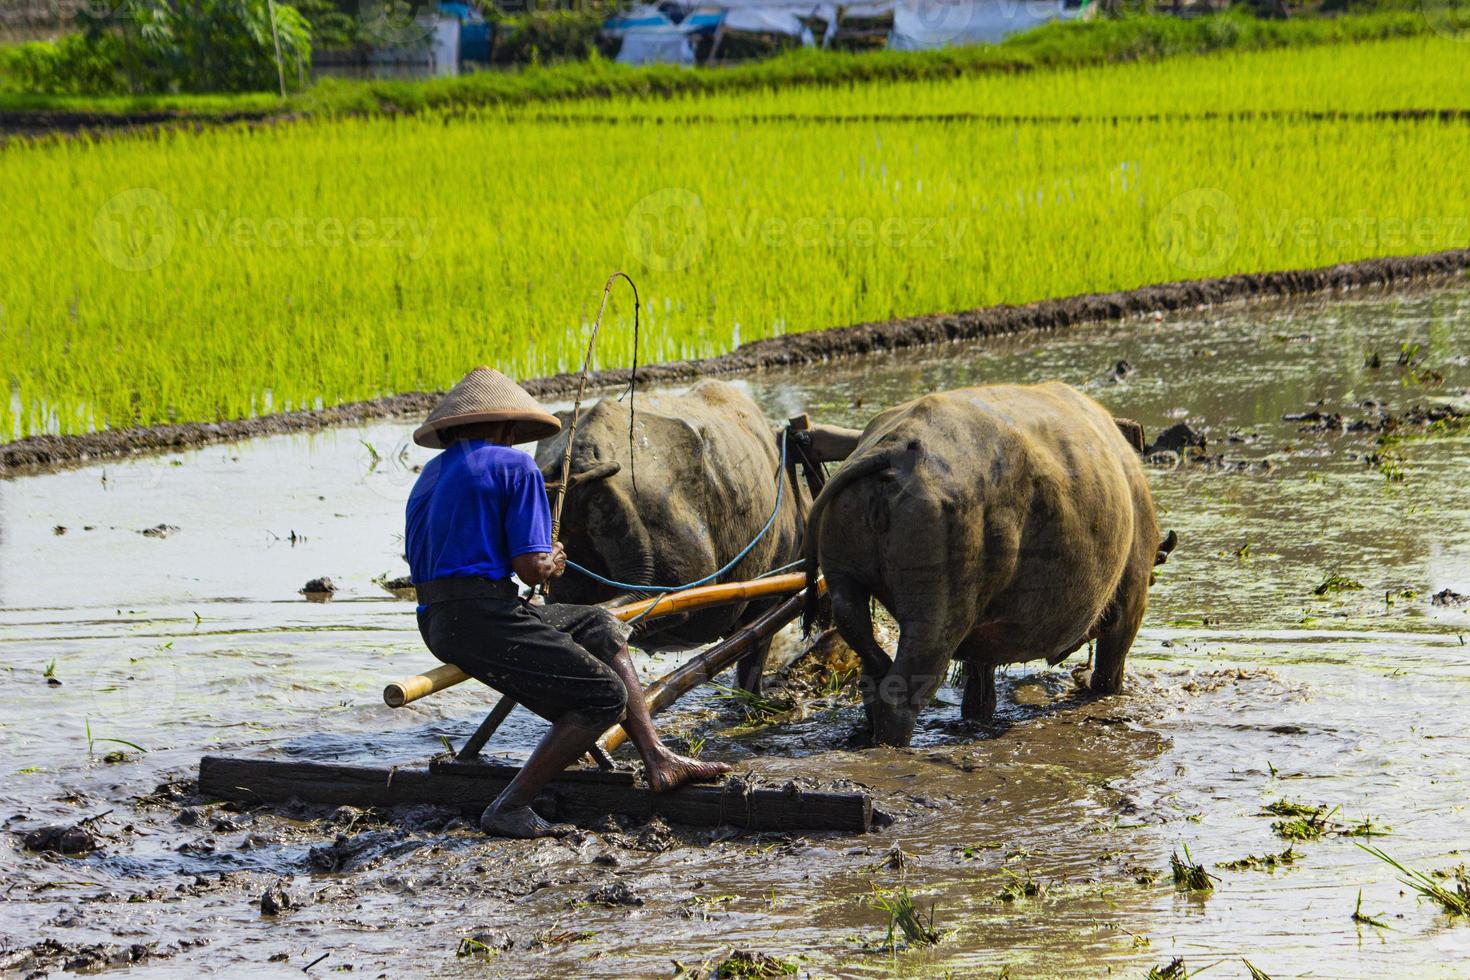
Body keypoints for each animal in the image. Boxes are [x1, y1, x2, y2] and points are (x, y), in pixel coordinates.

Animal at [805, 382, 1158, 743]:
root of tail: (894, 451)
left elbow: (979, 679)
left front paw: (977, 716)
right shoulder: (1134, 593)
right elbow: (1111, 663)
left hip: (843, 573)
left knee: (859, 637)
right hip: (937, 598)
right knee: (909, 679)